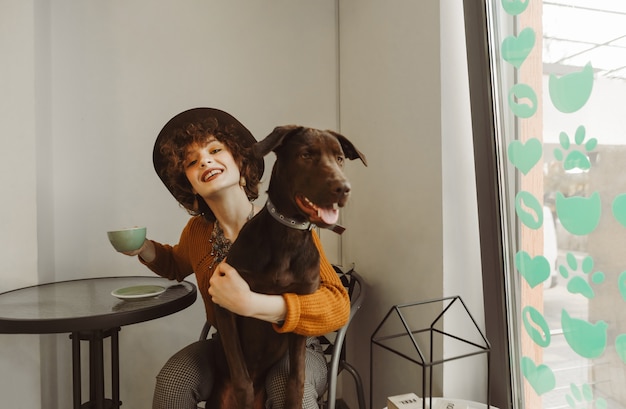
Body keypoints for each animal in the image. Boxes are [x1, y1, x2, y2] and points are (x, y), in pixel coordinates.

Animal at [210, 126, 366, 406]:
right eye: (306, 155)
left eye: (339, 158)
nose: (344, 188)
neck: (288, 235)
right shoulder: (224, 304)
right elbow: (241, 379)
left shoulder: (302, 311)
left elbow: (297, 378)